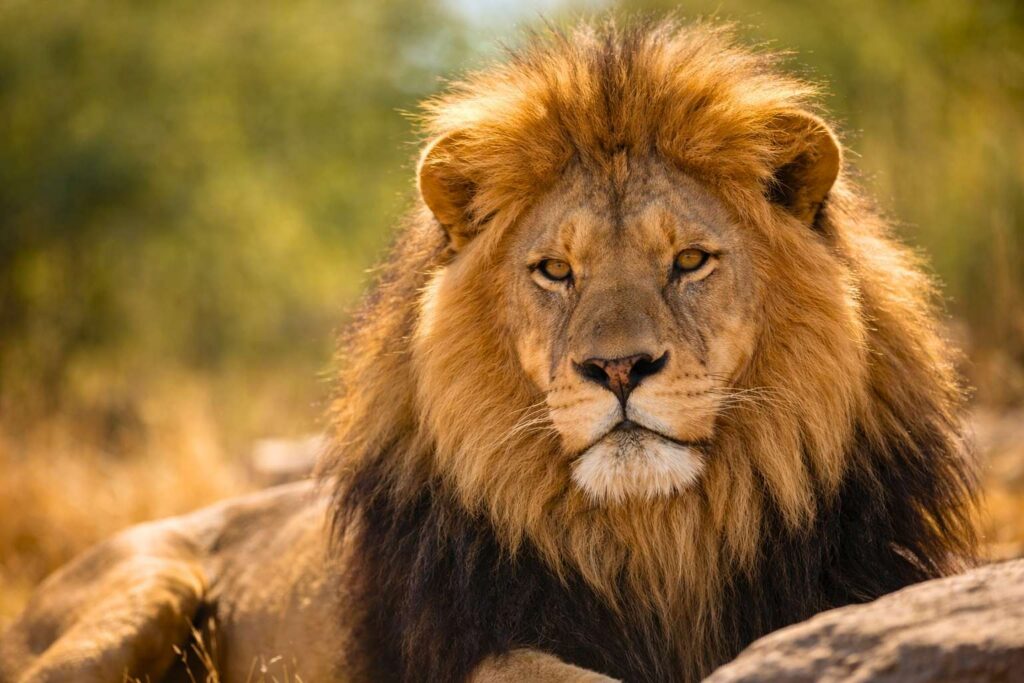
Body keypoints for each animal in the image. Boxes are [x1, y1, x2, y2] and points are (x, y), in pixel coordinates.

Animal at [0, 19, 978, 683]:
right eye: (555, 271)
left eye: (690, 261)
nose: (618, 369)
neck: (663, 541)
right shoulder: (471, 649)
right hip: (145, 583)